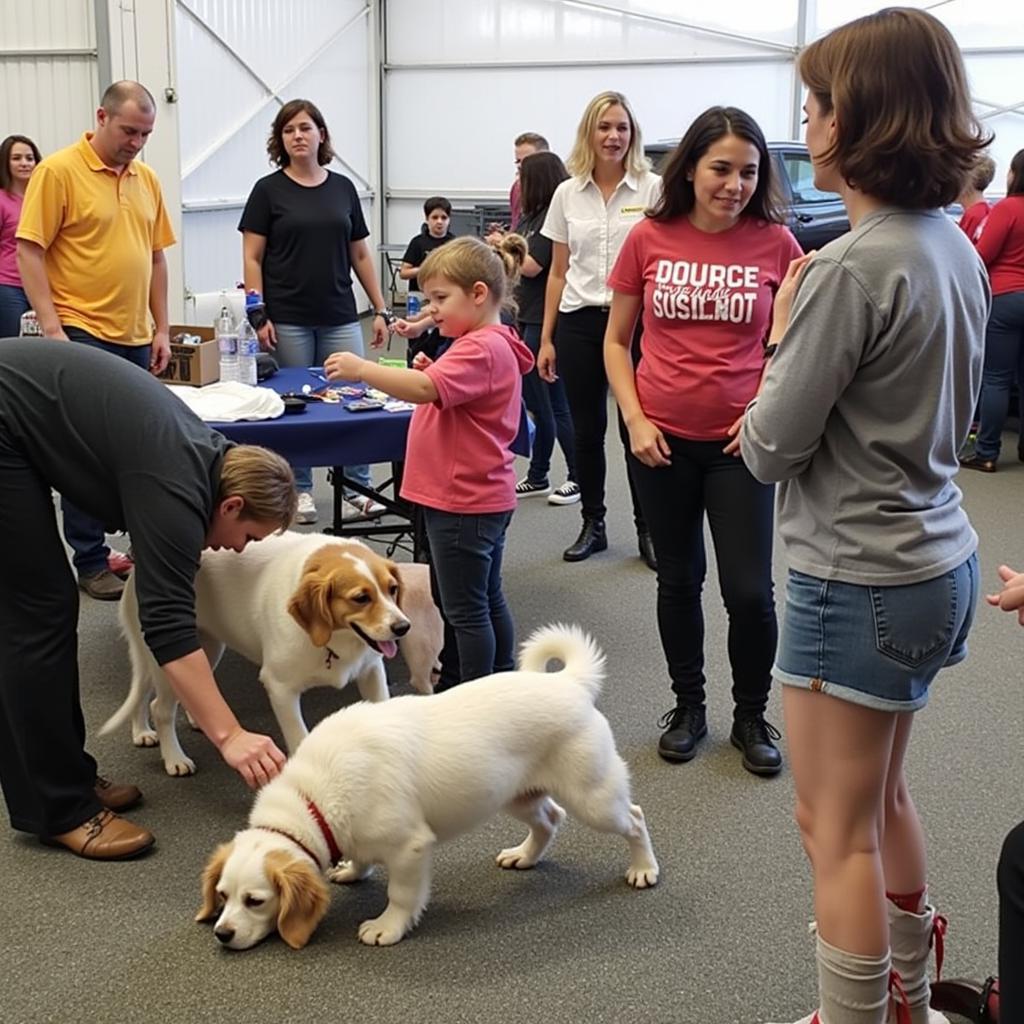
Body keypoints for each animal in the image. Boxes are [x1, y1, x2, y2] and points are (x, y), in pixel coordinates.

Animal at [101, 528, 442, 774]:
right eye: (361, 598)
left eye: (392, 589)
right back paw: (171, 755)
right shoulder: (280, 688)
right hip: (164, 655)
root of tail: (140, 568)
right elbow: (299, 736)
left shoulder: (372, 671)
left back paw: (152, 728)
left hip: (205, 648)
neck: (333, 638)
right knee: (158, 706)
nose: (403, 627)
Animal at [195, 622, 659, 950]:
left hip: (594, 798)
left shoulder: (410, 848)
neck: (315, 797)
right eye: (222, 895)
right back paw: (524, 856)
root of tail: (568, 683)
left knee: (635, 819)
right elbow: (360, 857)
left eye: (255, 900)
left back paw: (643, 868)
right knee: (549, 819)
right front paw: (353, 870)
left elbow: (401, 895)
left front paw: (387, 927)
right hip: (513, 794)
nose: (222, 934)